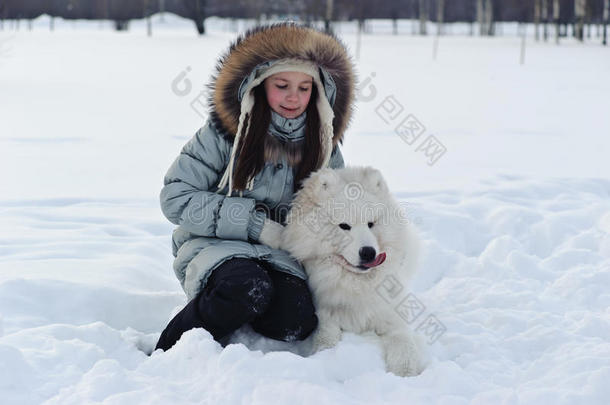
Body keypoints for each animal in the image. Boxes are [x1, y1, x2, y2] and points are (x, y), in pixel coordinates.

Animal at [282, 165, 420, 376]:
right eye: (344, 226)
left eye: (371, 224)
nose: (369, 252)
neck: (357, 284)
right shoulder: (324, 314)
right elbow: (326, 337)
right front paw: (325, 356)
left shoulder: (391, 315)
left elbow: (403, 342)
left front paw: (405, 372)